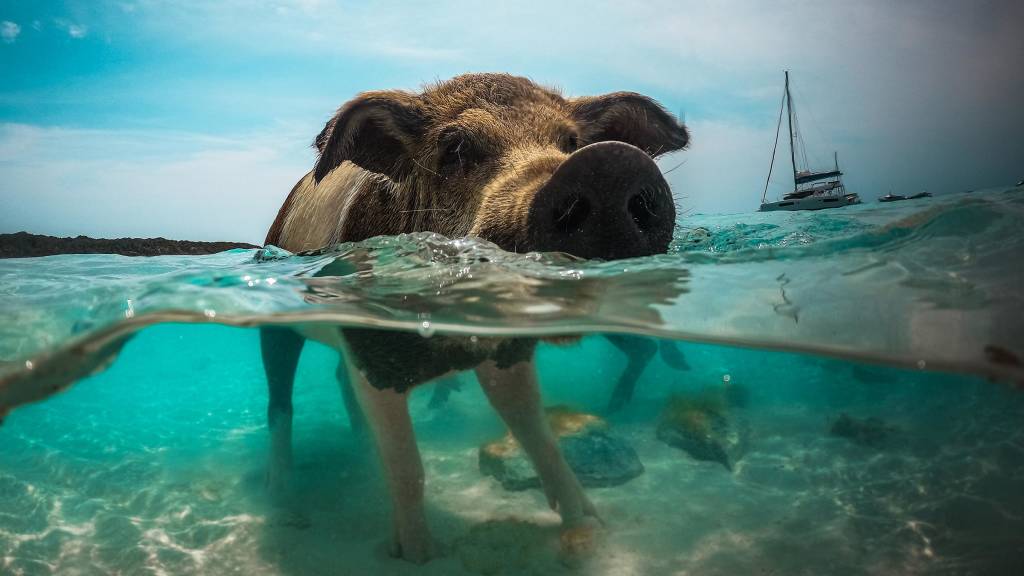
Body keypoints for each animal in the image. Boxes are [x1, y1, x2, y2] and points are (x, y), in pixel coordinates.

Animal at [260, 72, 688, 561]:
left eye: (571, 141)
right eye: (457, 149)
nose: (608, 162)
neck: (452, 344)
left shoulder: (505, 355)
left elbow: (538, 436)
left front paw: (590, 524)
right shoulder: (373, 355)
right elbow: (407, 465)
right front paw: (418, 555)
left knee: (336, 380)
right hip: (277, 325)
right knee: (280, 402)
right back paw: (284, 500)